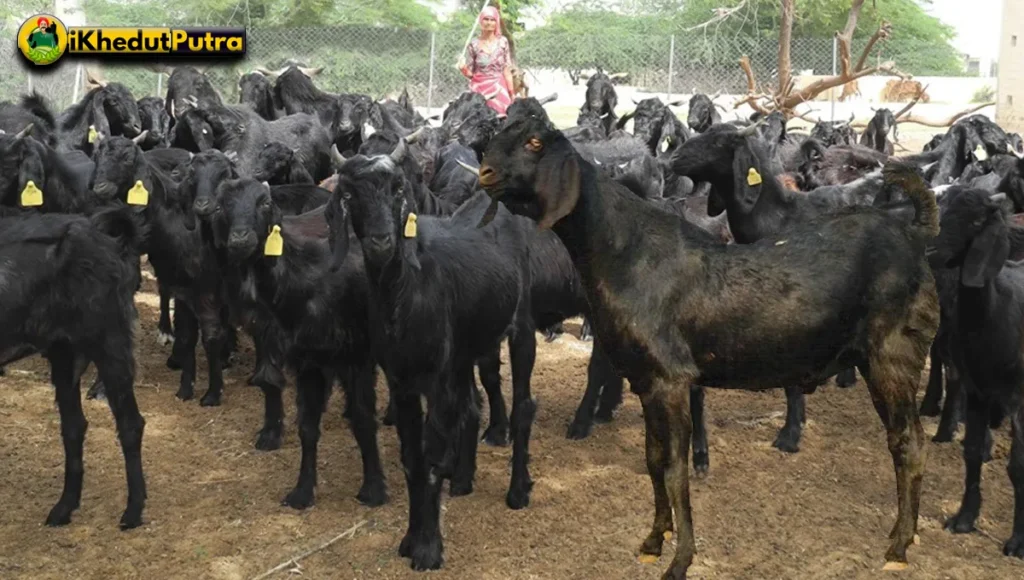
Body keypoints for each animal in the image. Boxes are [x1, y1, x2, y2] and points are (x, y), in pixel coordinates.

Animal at [0, 205, 148, 532]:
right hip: (64, 354)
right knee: (74, 427)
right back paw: (64, 507)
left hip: (110, 344)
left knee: (130, 424)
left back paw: (133, 510)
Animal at [479, 117, 942, 577]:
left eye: (535, 142)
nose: (484, 173)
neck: (625, 252)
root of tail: (914, 231)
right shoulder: (646, 381)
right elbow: (654, 459)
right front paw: (653, 541)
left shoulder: (671, 379)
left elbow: (675, 467)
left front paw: (679, 561)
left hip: (893, 356)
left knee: (909, 441)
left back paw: (899, 546)